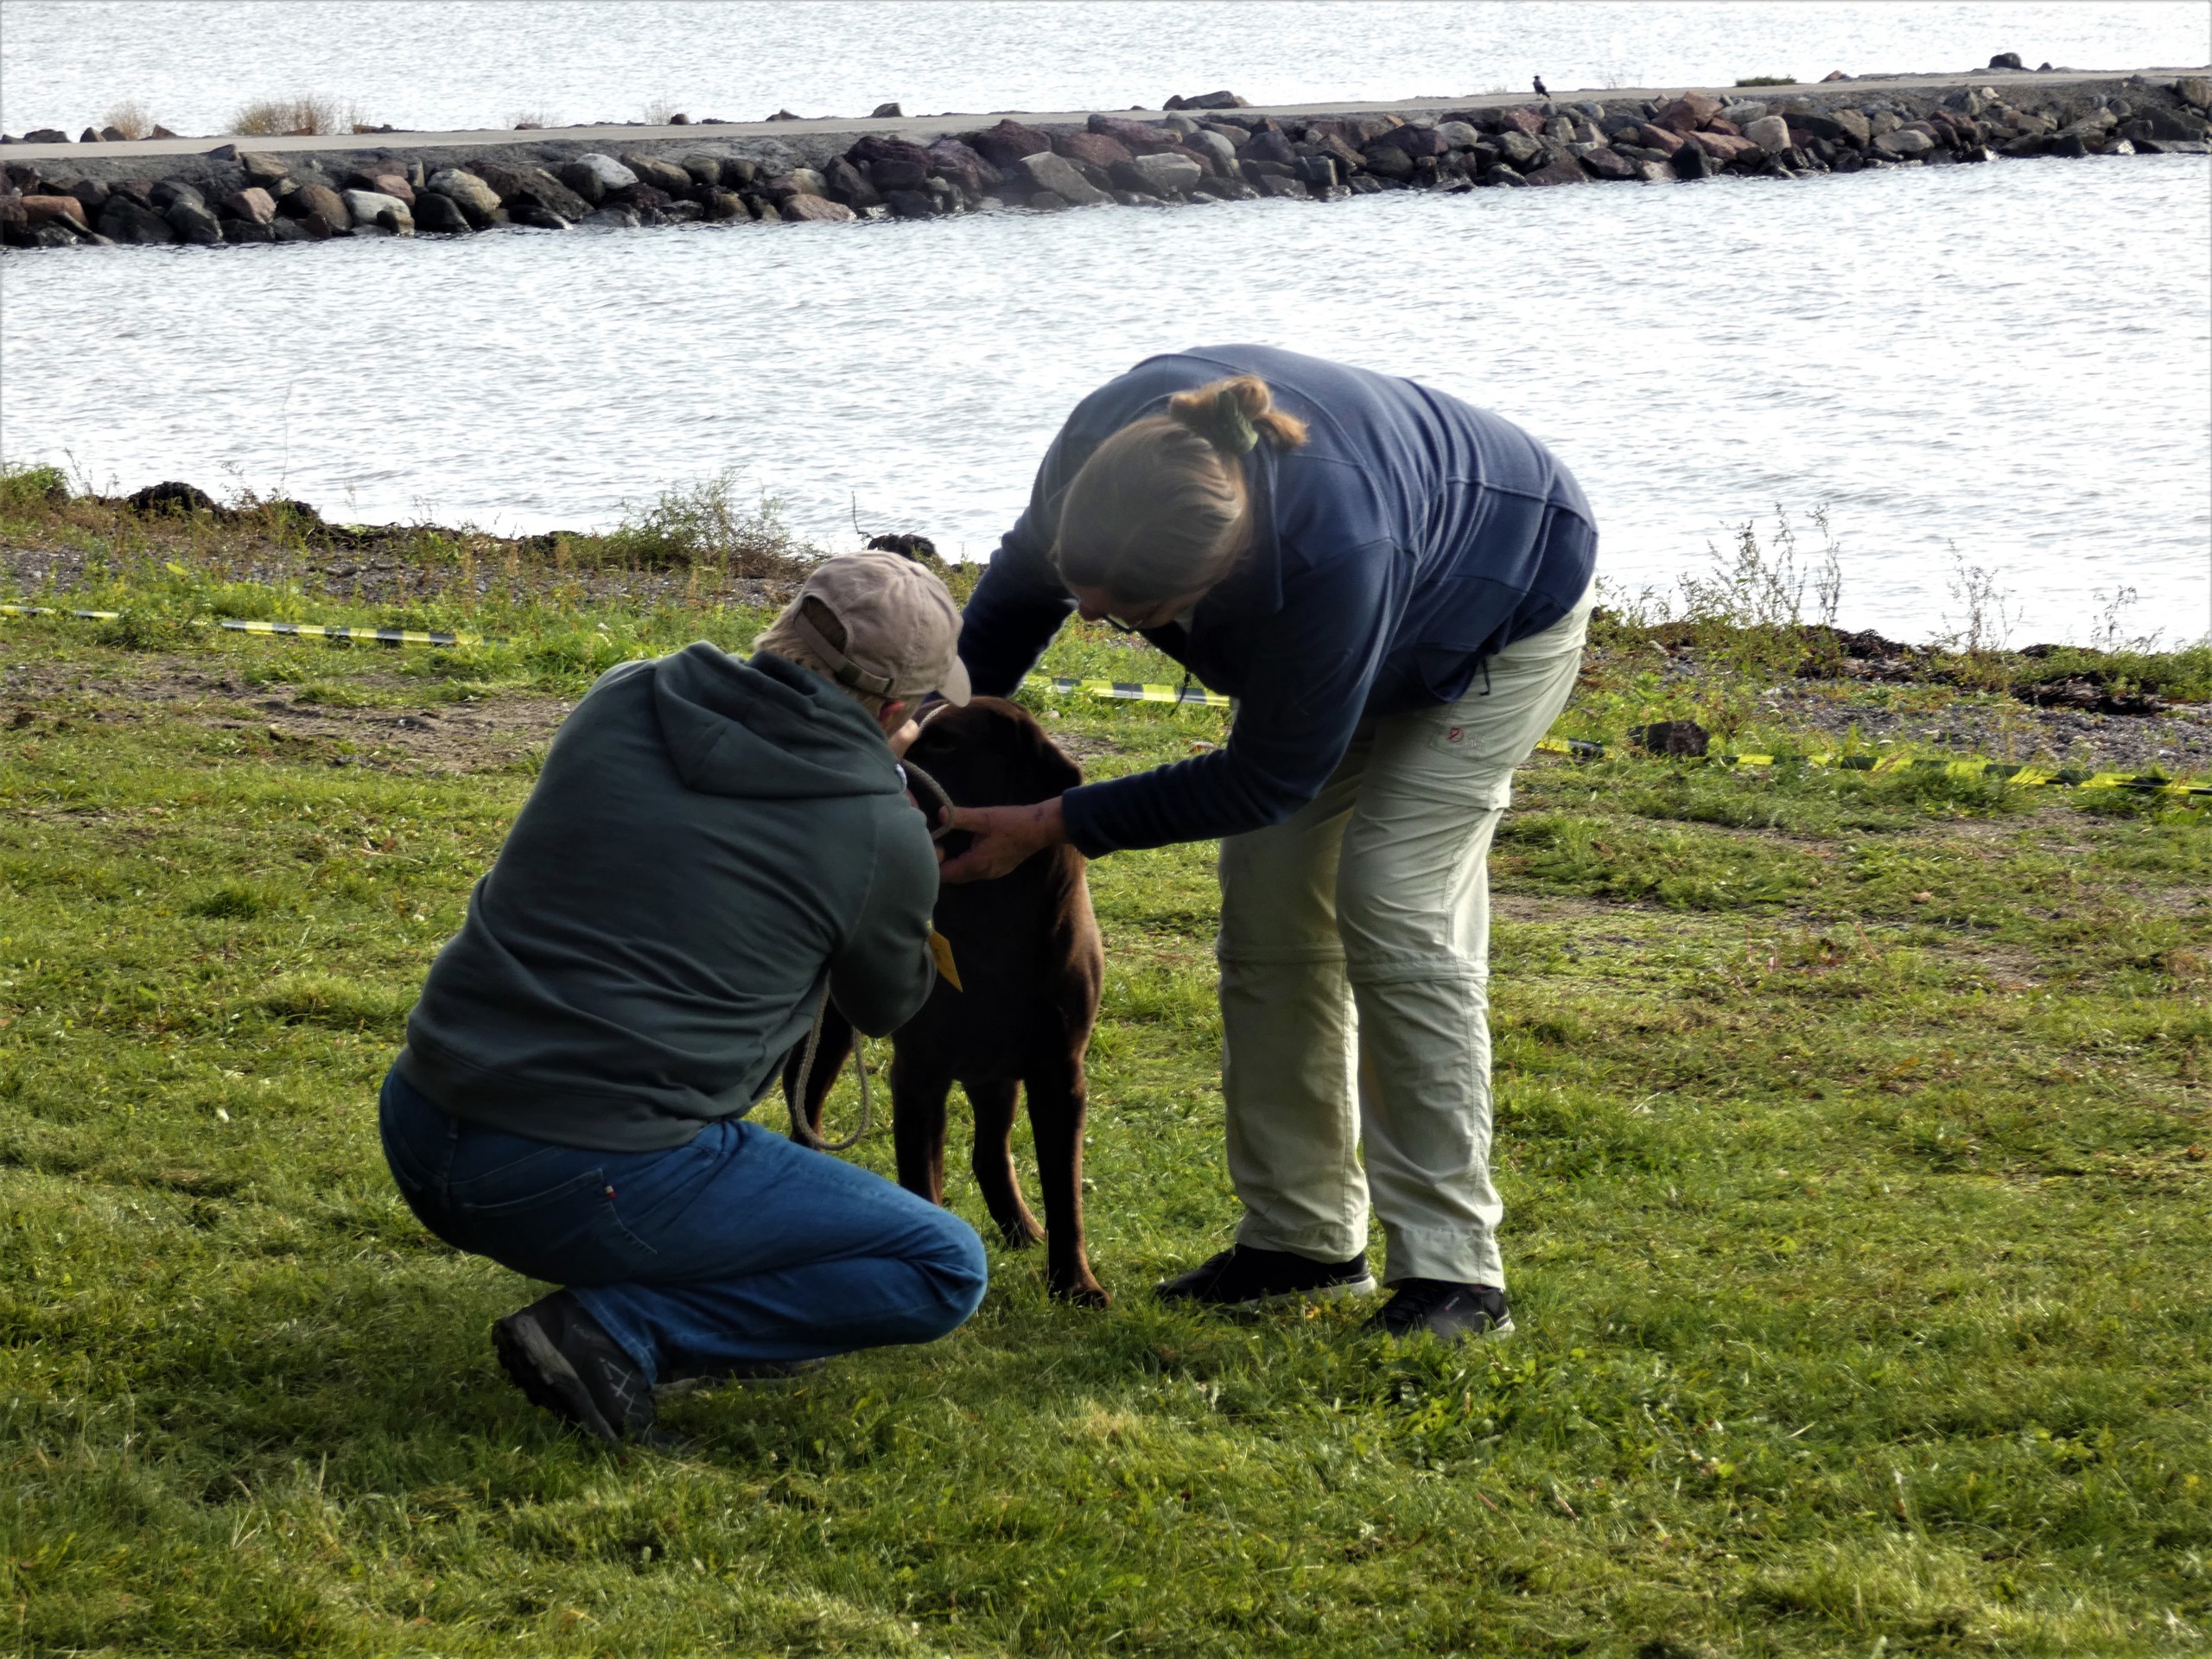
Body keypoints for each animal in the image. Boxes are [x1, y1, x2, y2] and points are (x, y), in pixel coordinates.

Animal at [783, 696, 1109, 1304]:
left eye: (947, 743)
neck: (992, 919)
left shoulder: (1059, 1072)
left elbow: (1065, 1193)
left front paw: (1075, 1284)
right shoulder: (919, 1073)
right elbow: (921, 1180)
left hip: (996, 1072)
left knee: (989, 1153)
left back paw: (1020, 1229)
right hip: (830, 1031)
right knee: (804, 1110)